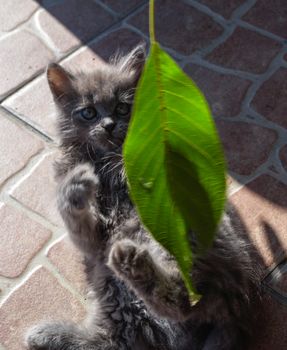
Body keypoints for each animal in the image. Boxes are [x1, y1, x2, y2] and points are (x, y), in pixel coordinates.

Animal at [25, 46, 262, 350]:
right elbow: (72, 213)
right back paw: (48, 334)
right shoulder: (93, 241)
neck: (105, 162)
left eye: (122, 108)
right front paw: (77, 184)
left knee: (187, 297)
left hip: (182, 243)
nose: (109, 124)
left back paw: (133, 262)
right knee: (112, 339)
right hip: (113, 293)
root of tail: (238, 309)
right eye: (88, 112)